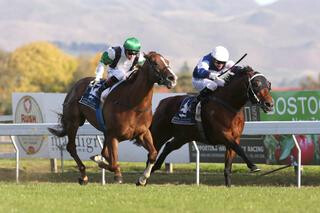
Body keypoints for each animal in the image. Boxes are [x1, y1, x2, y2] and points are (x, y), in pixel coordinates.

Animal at [48, 51, 178, 185]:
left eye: (167, 62)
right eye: (154, 62)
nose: (172, 78)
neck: (133, 104)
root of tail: (76, 85)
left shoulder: (142, 133)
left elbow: (153, 154)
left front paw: (142, 179)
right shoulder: (113, 135)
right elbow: (114, 163)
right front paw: (113, 172)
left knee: (103, 152)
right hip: (73, 122)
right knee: (71, 147)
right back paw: (84, 176)